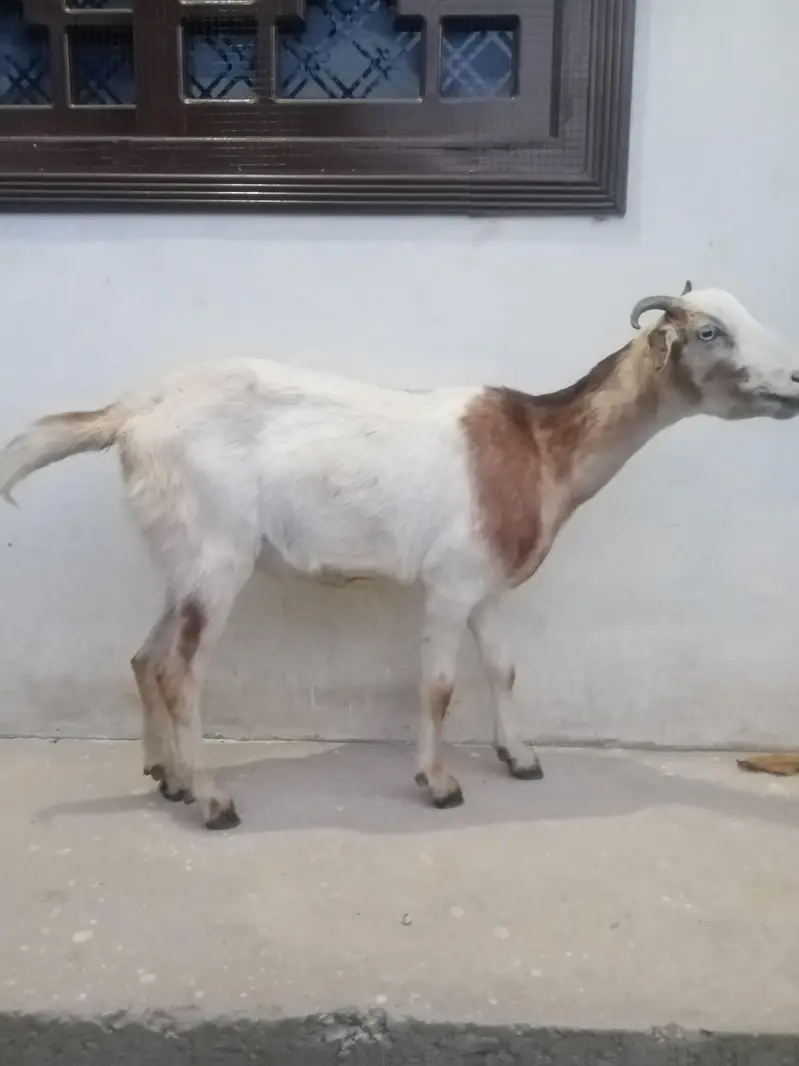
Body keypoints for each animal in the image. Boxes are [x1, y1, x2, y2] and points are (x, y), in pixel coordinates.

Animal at [3, 283, 799, 829]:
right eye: (709, 330)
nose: (793, 382)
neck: (539, 446)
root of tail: (131, 414)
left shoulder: (489, 585)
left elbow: (503, 668)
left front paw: (520, 758)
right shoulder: (450, 581)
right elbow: (440, 685)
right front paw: (438, 784)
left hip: (182, 554)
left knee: (145, 657)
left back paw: (166, 776)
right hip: (215, 555)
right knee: (179, 671)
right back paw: (211, 799)